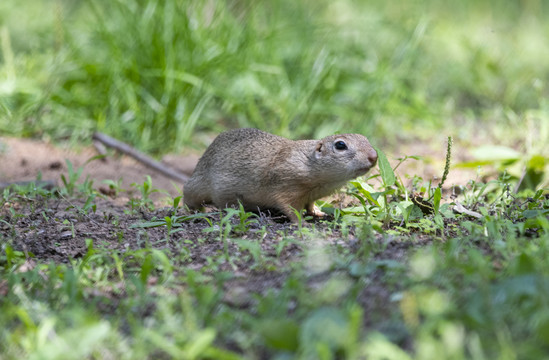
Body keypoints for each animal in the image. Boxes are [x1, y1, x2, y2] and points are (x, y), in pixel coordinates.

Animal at [184, 128, 376, 221]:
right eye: (340, 145)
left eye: (365, 138)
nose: (374, 156)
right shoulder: (286, 186)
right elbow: (290, 208)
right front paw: (301, 222)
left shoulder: (311, 195)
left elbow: (310, 205)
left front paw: (318, 212)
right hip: (197, 186)